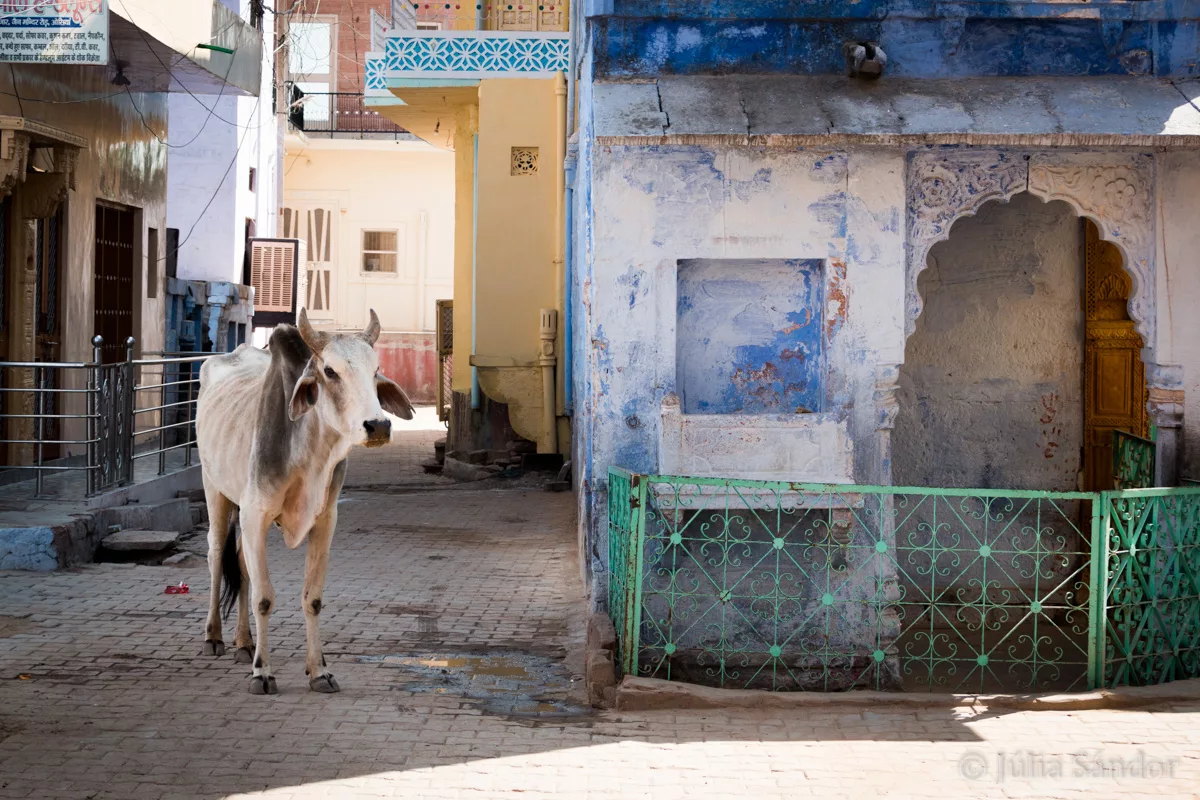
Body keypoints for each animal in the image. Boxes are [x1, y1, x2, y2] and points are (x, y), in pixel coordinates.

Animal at [195, 309, 414, 695]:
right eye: (329, 371)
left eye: (376, 370)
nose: (378, 426)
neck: (310, 455)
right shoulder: (255, 514)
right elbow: (263, 598)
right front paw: (263, 673)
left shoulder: (325, 520)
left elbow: (312, 598)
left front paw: (319, 671)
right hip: (214, 488)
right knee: (217, 556)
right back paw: (214, 637)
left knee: (239, 562)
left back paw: (243, 642)